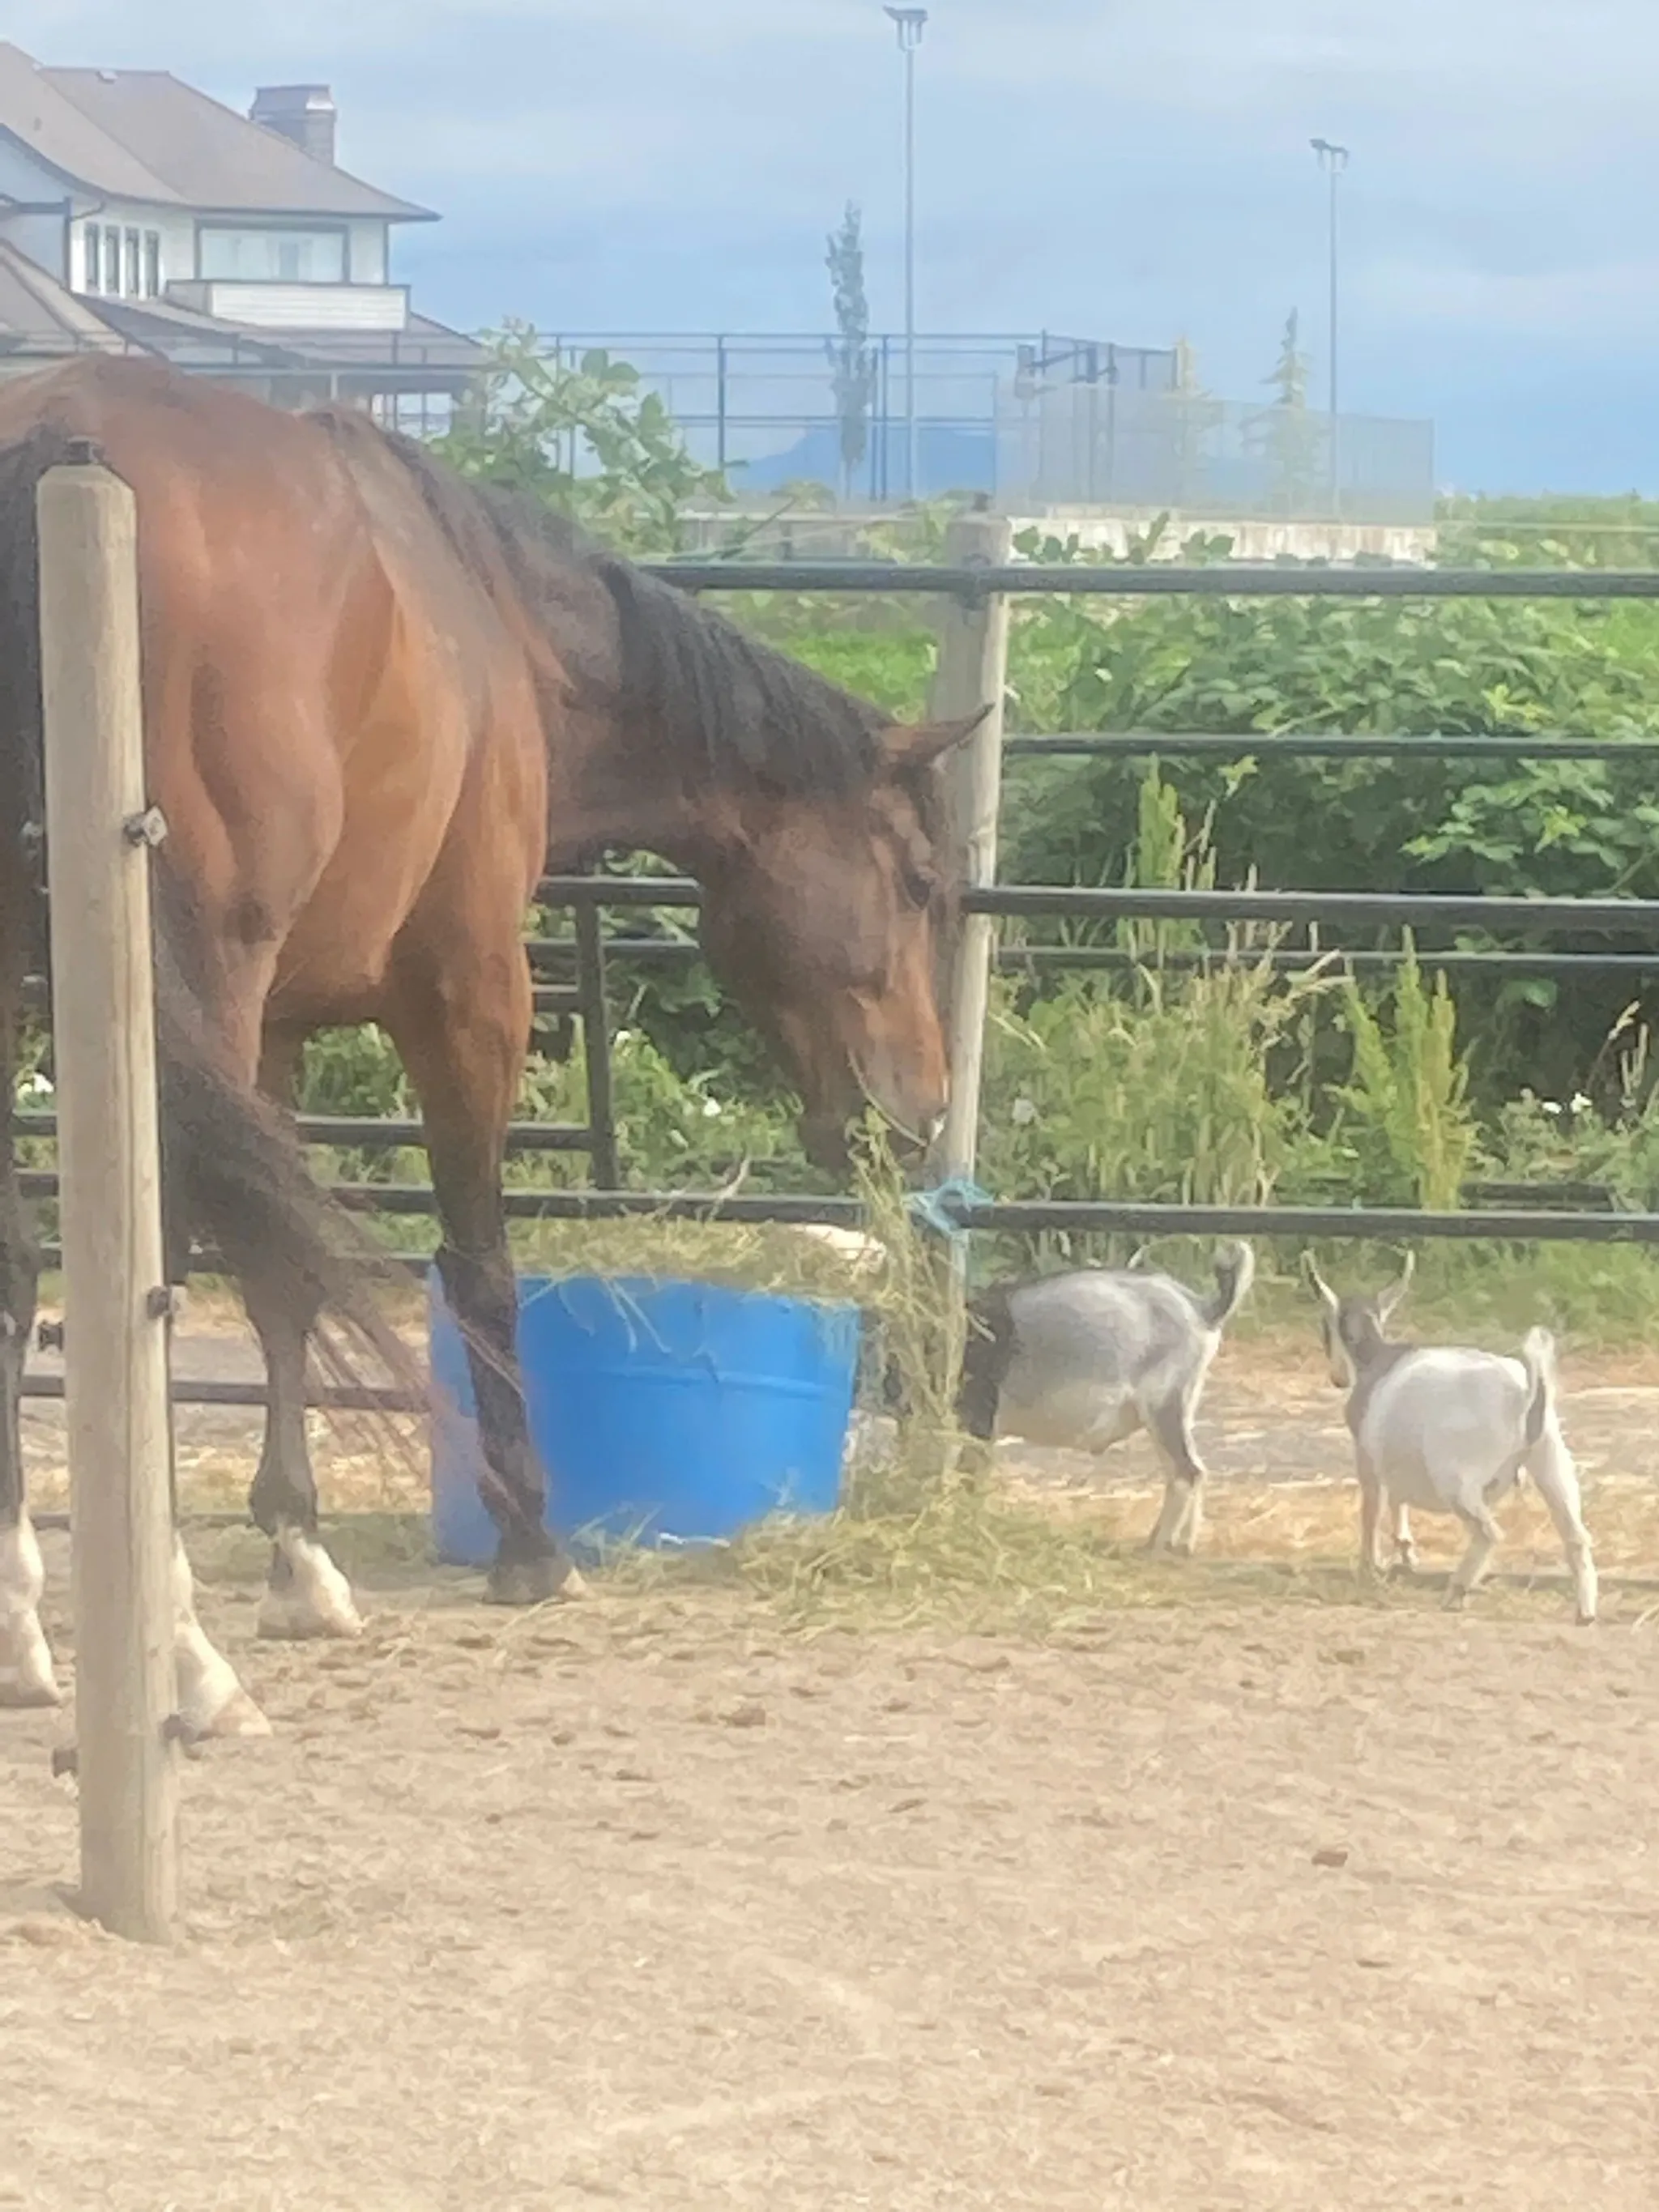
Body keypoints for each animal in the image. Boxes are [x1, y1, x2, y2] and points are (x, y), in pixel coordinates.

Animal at [0, 357, 982, 1732]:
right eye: (914, 881)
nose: (919, 1106)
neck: (494, 624)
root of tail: (53, 437)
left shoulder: (278, 1029)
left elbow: (284, 1273)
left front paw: (300, 1556)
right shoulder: (467, 991)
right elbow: (477, 1261)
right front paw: (530, 1543)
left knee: (25, 1254)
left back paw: (28, 1624)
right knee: (150, 1263)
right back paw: (183, 1651)